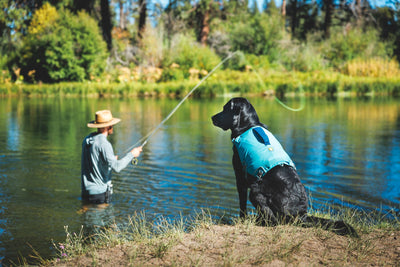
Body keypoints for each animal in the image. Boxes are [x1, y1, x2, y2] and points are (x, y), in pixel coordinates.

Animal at [211, 98, 358, 237]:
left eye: (225, 109)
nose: (212, 117)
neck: (248, 126)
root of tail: (301, 215)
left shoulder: (240, 177)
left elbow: (242, 205)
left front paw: (242, 220)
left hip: (255, 191)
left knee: (274, 221)